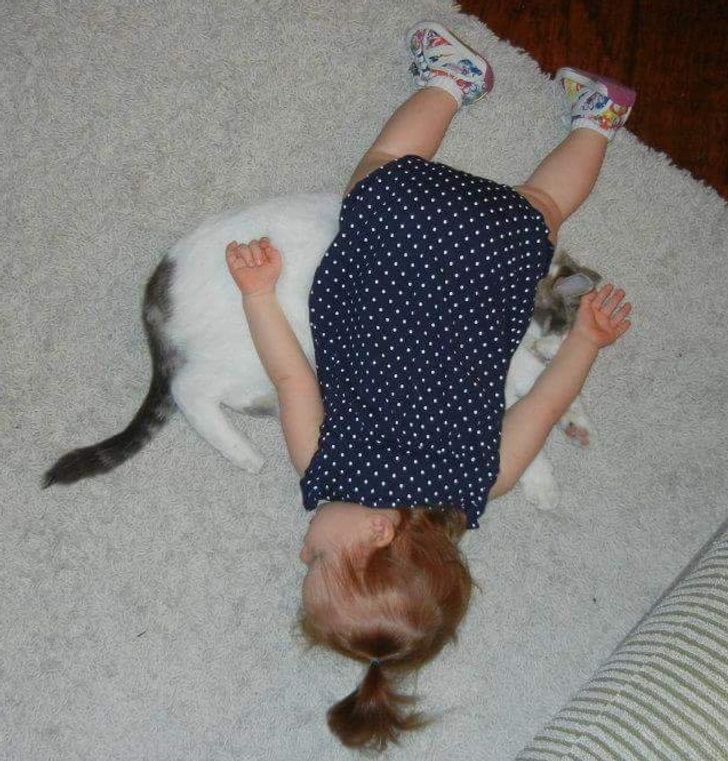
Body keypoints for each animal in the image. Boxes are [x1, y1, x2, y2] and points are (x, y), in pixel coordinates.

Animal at [43, 192, 602, 510]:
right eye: (555, 320)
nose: (554, 344)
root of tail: (158, 292)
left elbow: (536, 395)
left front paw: (572, 421)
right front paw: (546, 479)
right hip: (257, 337)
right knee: (189, 389)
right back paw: (244, 453)